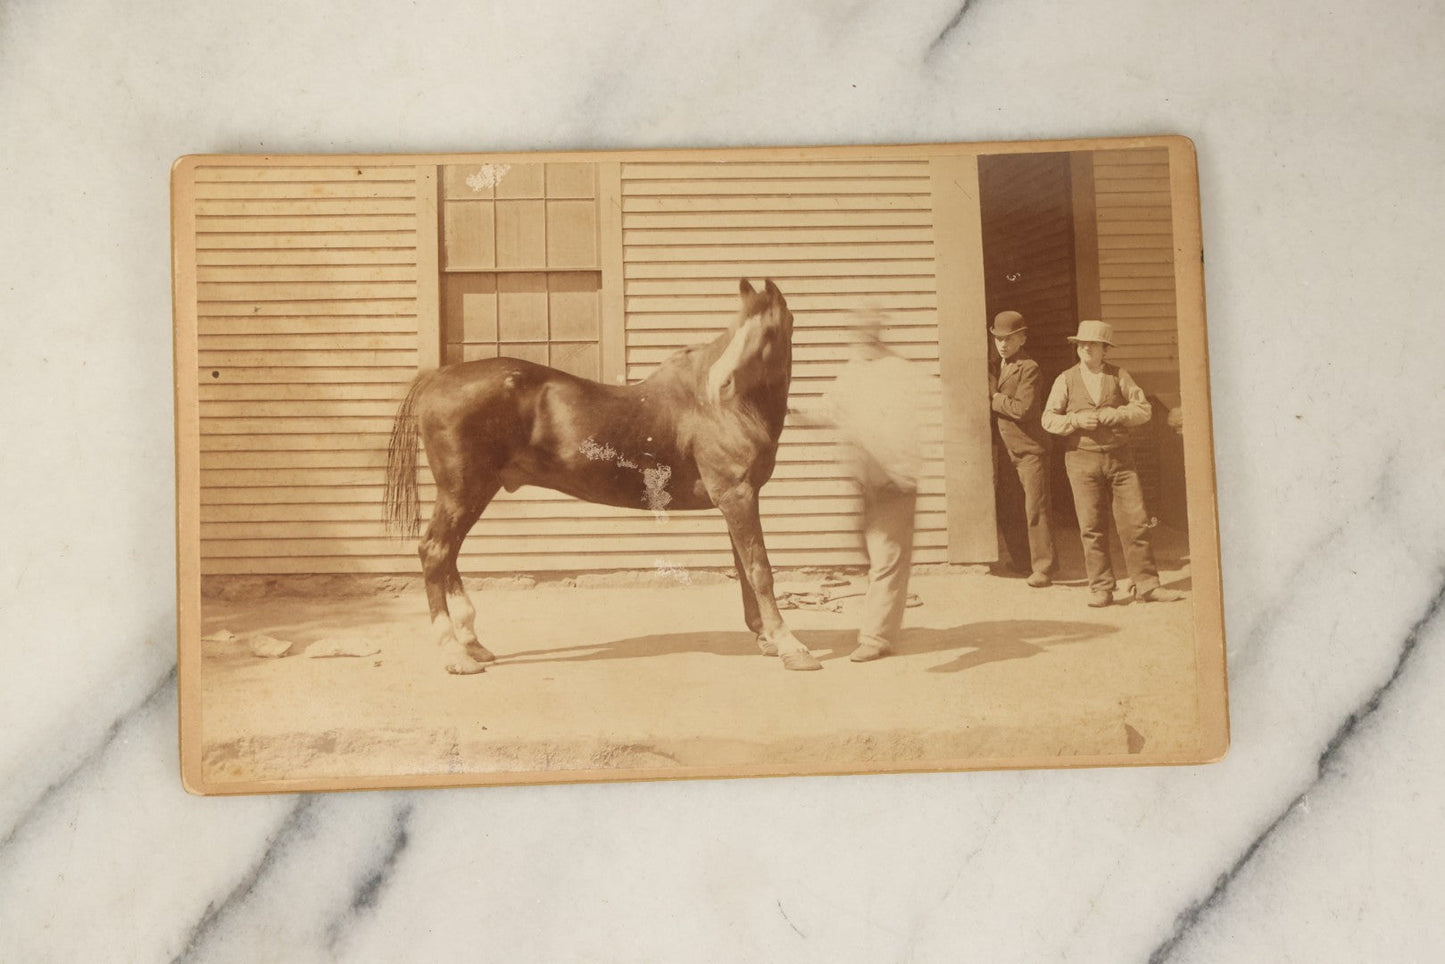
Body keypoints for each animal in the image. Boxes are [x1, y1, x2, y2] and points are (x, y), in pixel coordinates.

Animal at [384, 279, 822, 674]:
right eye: (736, 329)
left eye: (768, 331)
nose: (721, 384)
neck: (720, 408)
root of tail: (438, 377)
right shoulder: (737, 496)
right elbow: (760, 569)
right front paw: (791, 646)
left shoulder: (735, 500)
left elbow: (745, 569)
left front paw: (766, 638)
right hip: (461, 491)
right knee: (436, 551)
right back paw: (454, 654)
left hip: (476, 491)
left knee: (449, 553)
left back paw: (472, 643)